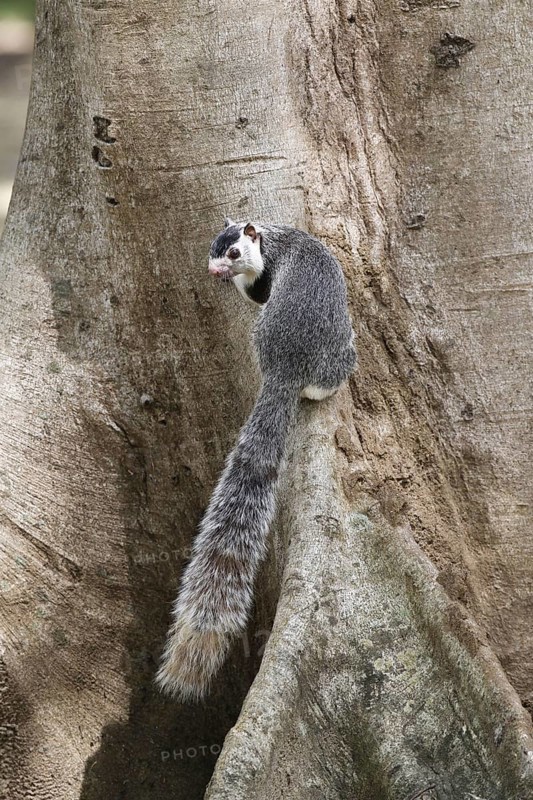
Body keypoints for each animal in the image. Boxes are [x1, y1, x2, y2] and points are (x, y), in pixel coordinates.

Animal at [156, 220, 356, 701]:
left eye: (231, 251)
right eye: (213, 248)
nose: (213, 272)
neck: (276, 238)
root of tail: (285, 369)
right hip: (341, 354)